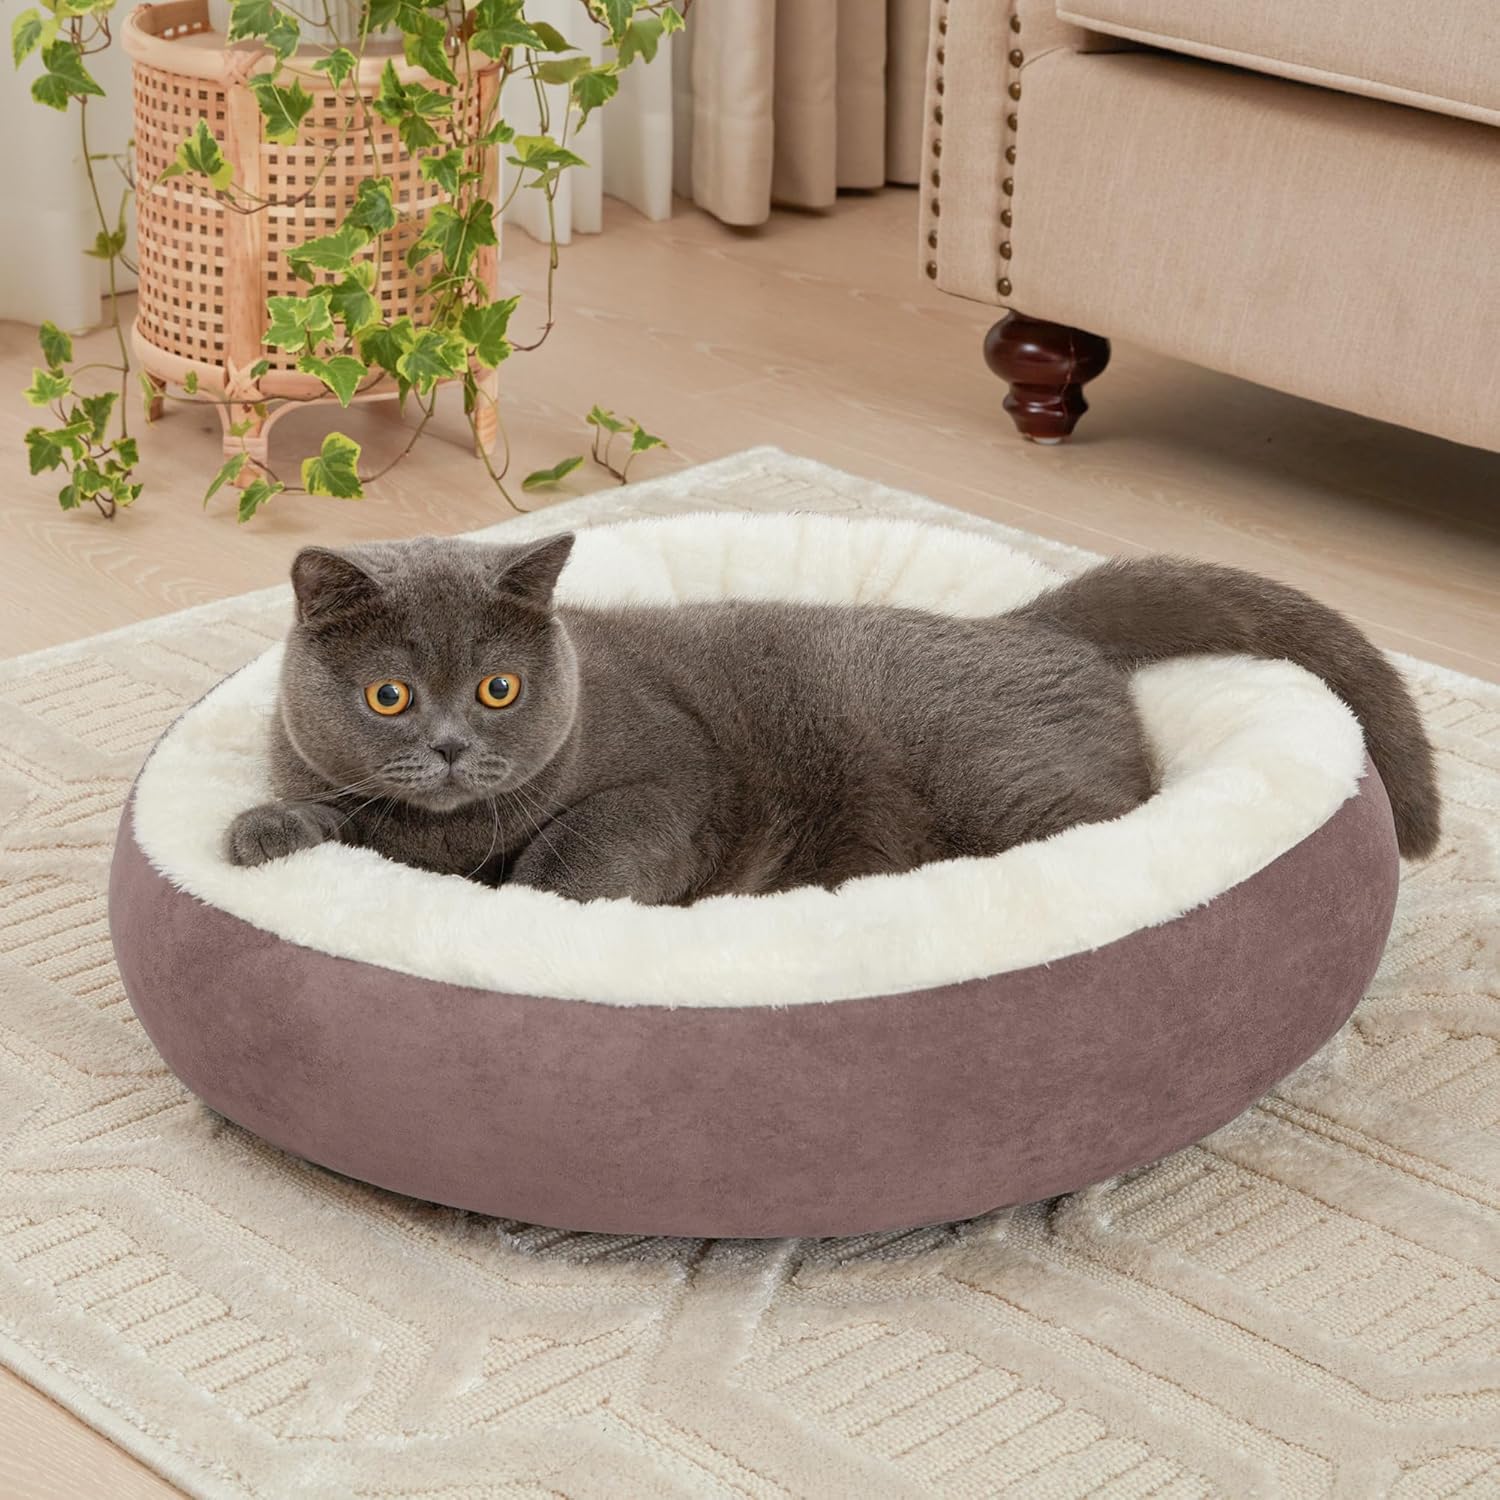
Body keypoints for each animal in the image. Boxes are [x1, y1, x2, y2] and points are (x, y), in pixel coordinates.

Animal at [225, 532, 1441, 902]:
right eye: (388, 694)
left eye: (498, 689)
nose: (448, 745)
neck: (449, 839)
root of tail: (1034, 620)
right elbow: (330, 812)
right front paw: (257, 834)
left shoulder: (667, 778)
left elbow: (578, 847)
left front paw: (531, 903)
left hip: (1000, 774)